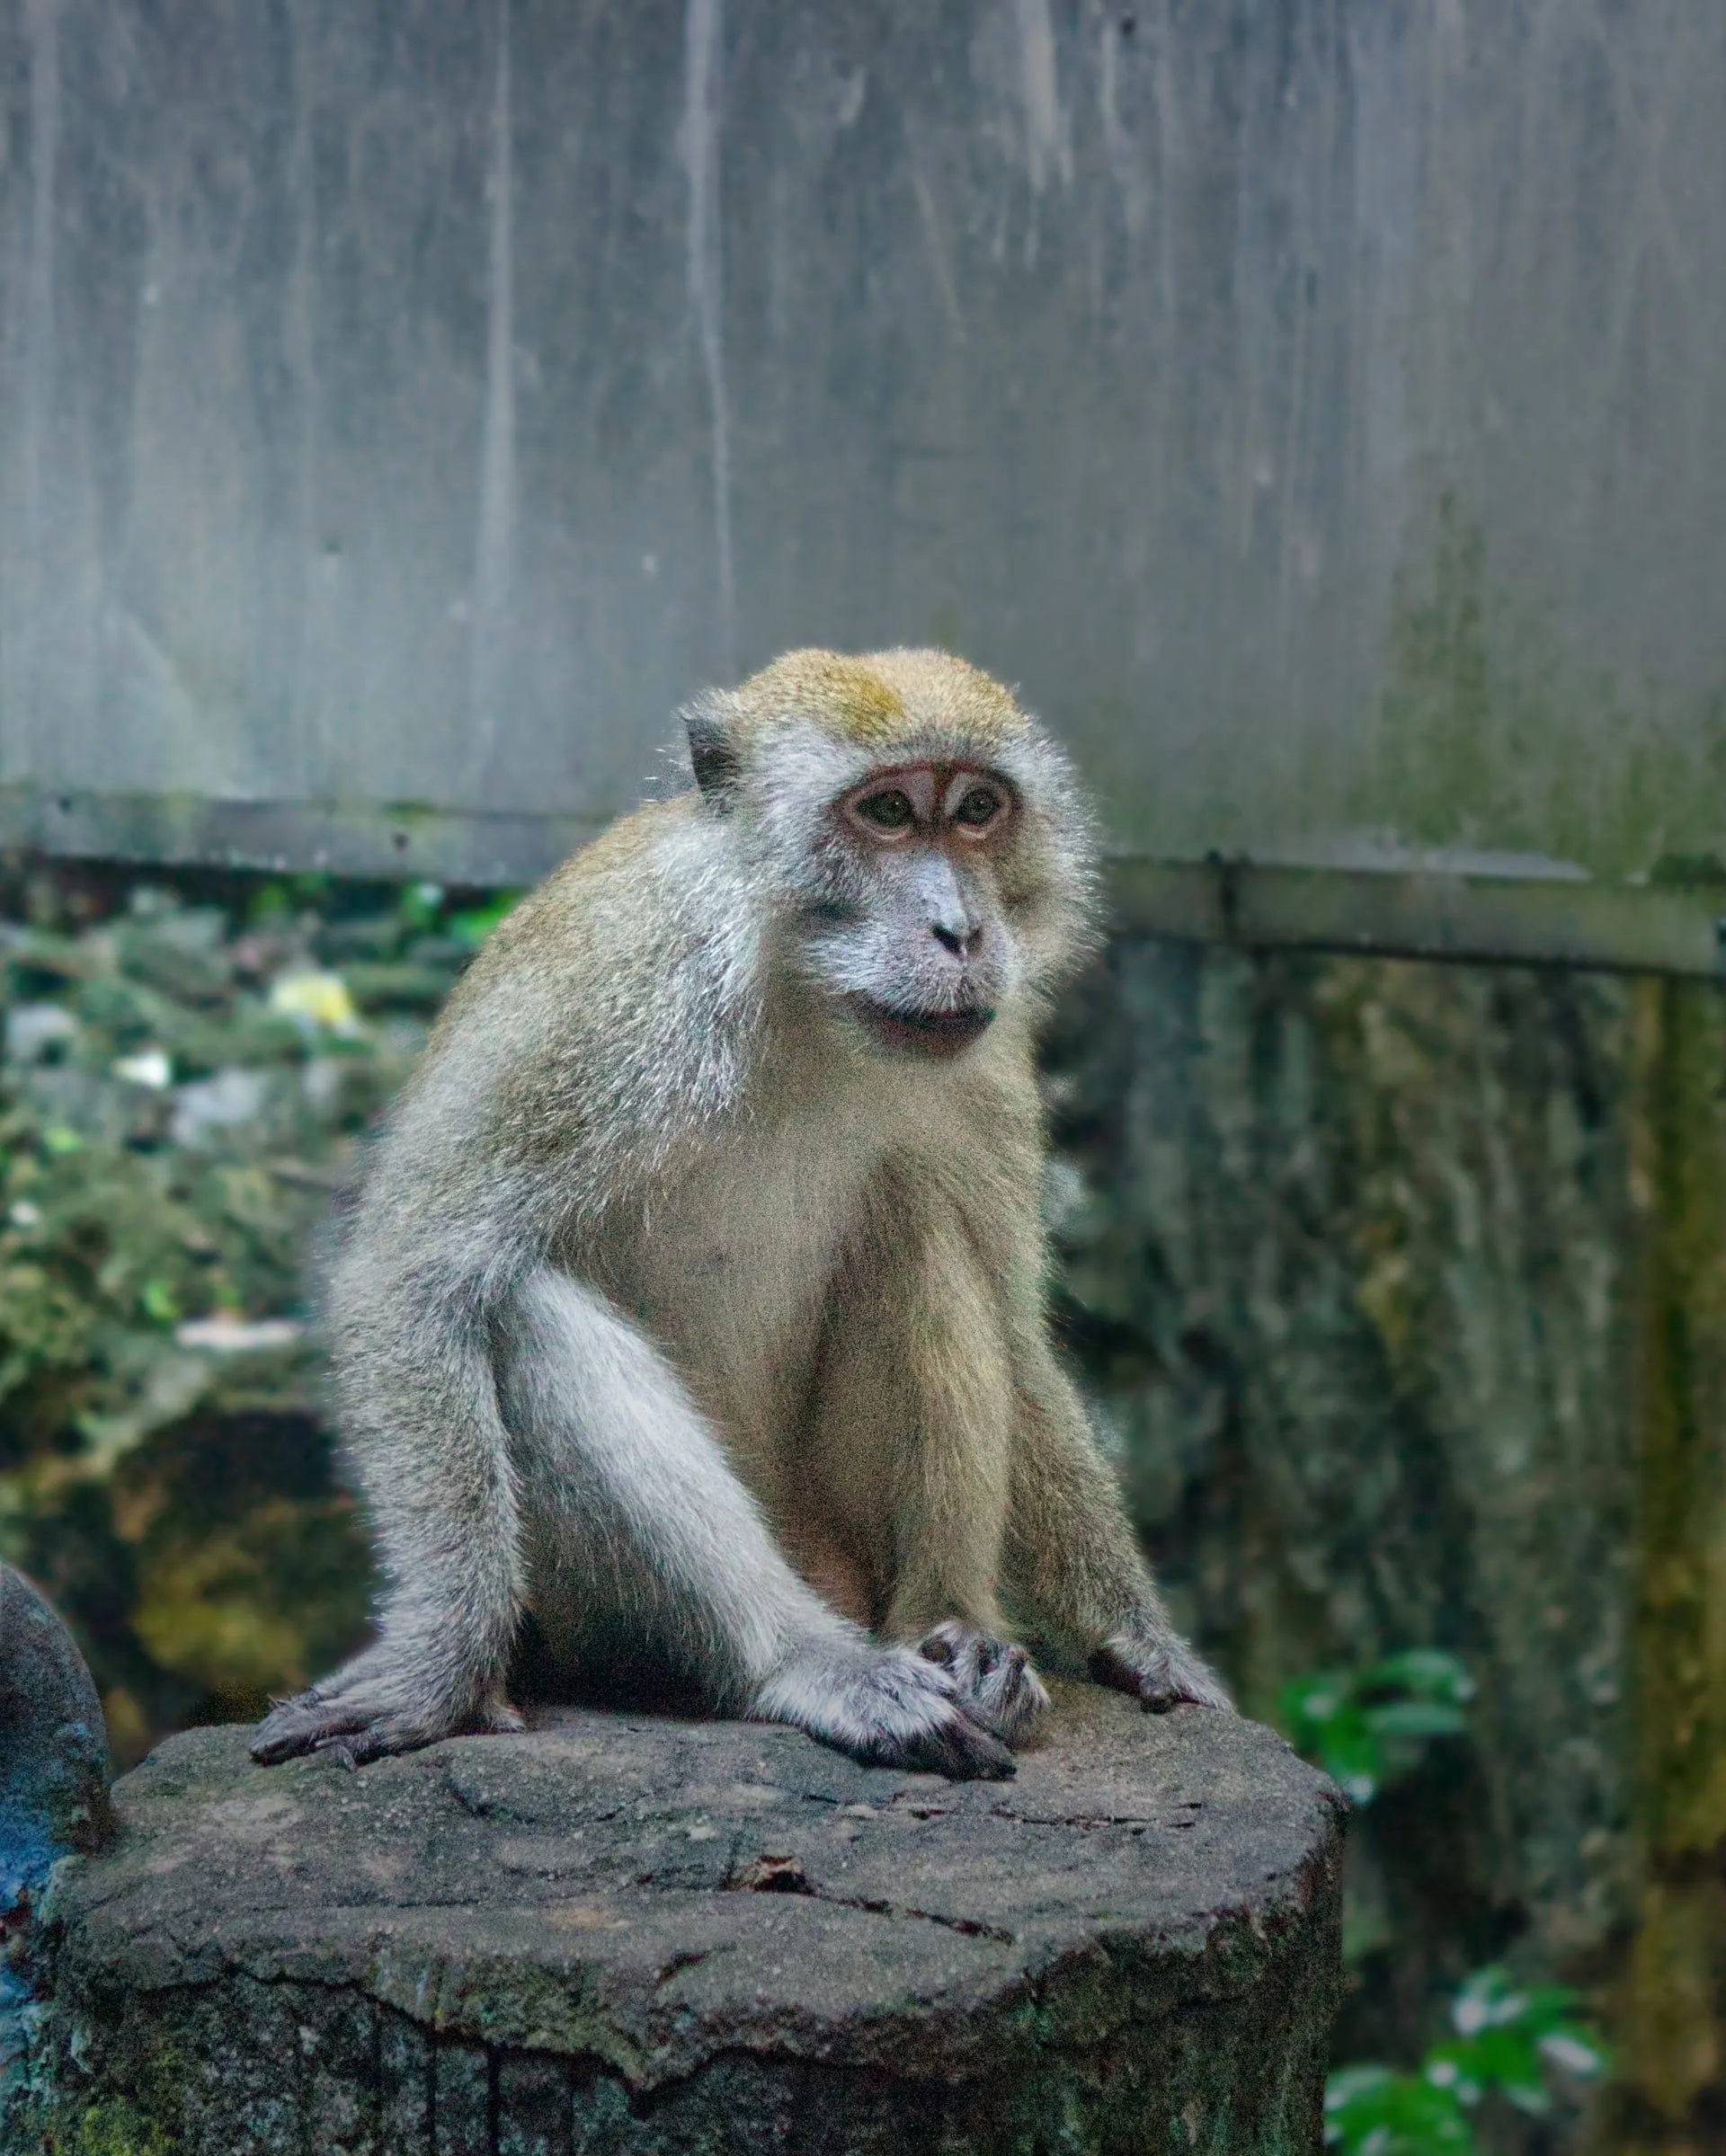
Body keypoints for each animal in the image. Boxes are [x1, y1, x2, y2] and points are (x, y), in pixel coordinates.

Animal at [254, 648, 1229, 1781]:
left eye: (978, 811)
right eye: (886, 812)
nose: (963, 930)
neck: (805, 994)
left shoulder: (987, 1059)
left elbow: (1013, 1319)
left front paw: (1139, 1636)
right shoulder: (602, 995)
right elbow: (411, 1269)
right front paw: (439, 1668)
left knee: (920, 1228)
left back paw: (954, 1631)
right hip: (588, 1608)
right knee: (526, 1311)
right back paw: (805, 1661)